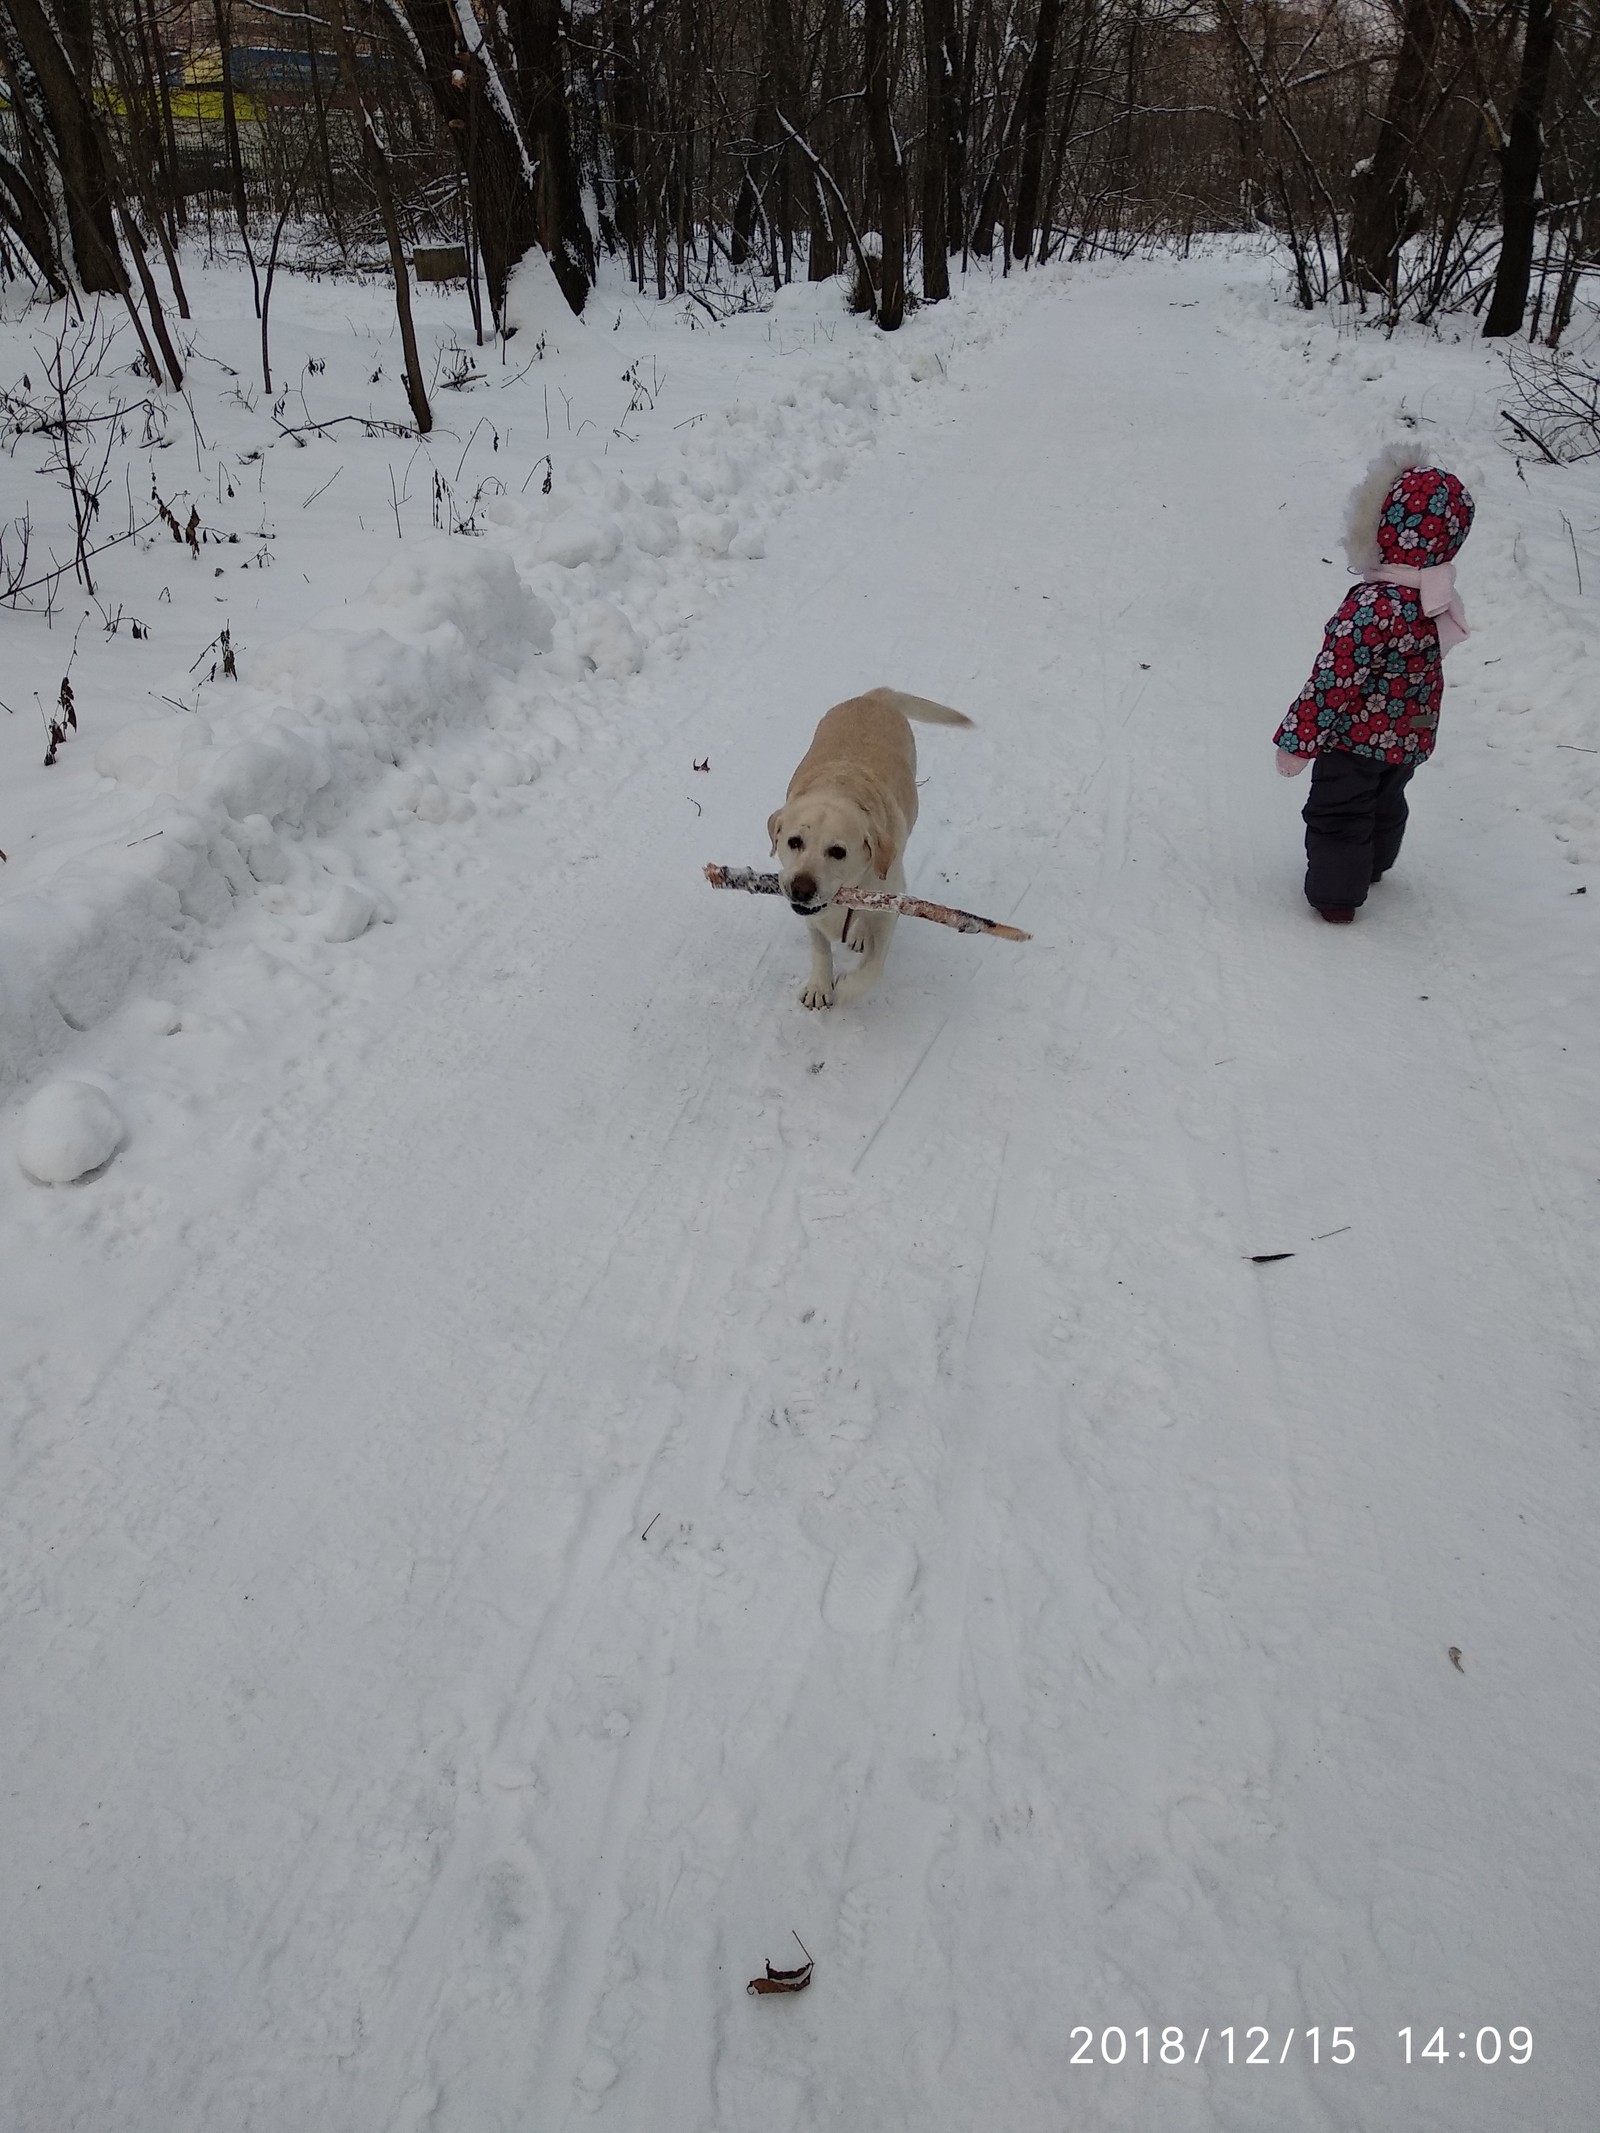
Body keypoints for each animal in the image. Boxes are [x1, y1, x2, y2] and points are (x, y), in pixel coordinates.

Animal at [768, 686, 972, 1011]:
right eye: (794, 842)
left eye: (838, 851)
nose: (800, 889)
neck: (842, 788)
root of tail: (878, 694)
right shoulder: (812, 915)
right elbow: (820, 947)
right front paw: (819, 986)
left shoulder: (889, 909)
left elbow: (874, 966)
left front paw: (848, 987)